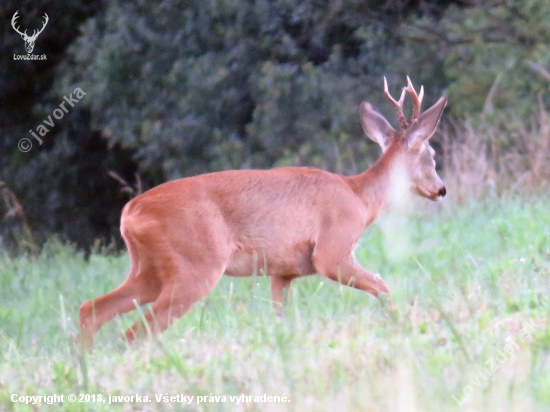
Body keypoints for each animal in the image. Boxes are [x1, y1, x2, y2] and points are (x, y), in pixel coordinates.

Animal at [78, 77, 448, 348]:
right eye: (430, 153)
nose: (441, 188)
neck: (359, 197)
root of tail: (129, 212)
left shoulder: (282, 271)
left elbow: (279, 316)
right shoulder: (333, 249)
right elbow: (384, 286)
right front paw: (396, 325)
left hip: (149, 269)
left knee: (90, 309)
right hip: (195, 265)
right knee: (135, 332)